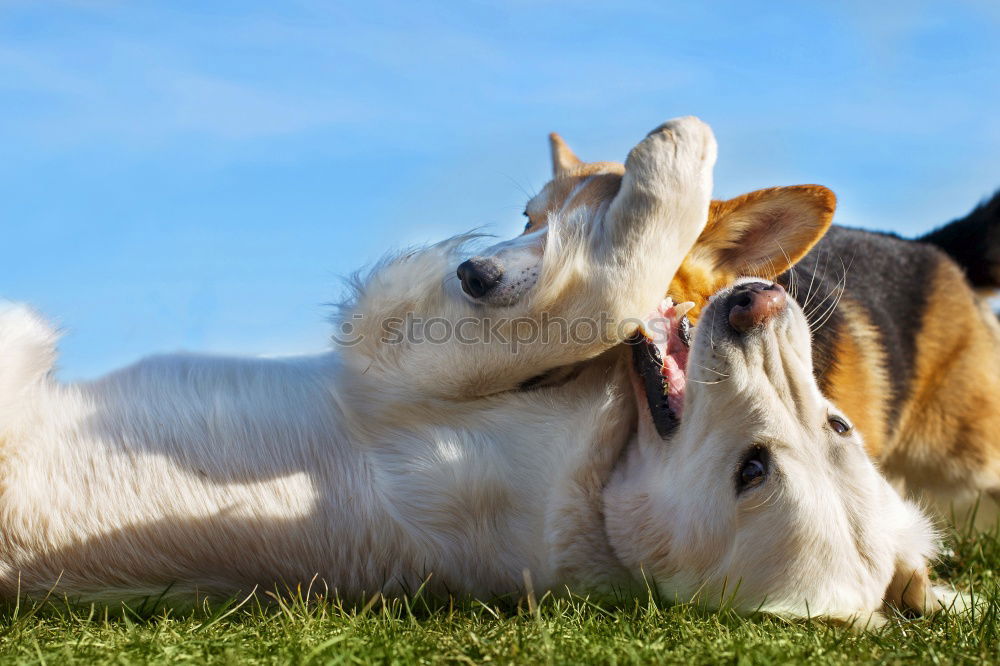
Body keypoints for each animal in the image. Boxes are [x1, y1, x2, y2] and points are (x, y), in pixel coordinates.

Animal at [0, 115, 944, 624]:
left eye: (755, 472)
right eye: (839, 425)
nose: (758, 307)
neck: (601, 479)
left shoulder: (409, 362)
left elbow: (603, 284)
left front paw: (676, 152)